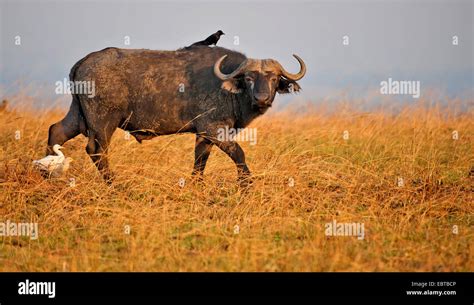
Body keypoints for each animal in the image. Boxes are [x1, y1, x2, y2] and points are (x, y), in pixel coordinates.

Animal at [47, 46, 308, 184]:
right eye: (249, 78)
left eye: (274, 79)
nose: (262, 98)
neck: (229, 90)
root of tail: (82, 62)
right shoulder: (214, 130)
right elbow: (239, 153)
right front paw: (246, 184)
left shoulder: (204, 135)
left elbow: (200, 161)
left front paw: (196, 185)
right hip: (103, 122)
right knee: (96, 150)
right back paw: (114, 184)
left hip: (77, 116)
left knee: (56, 131)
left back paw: (47, 173)